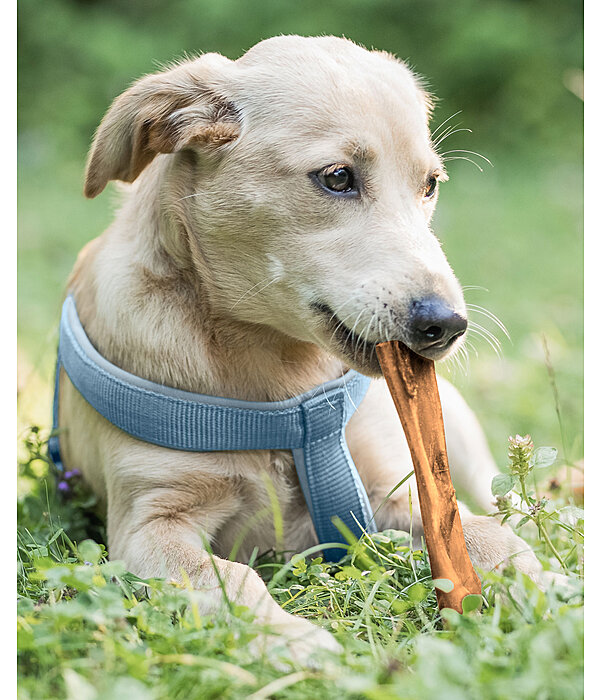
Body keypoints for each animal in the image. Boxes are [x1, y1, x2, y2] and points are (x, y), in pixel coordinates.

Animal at [56, 37, 564, 660]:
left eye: (430, 185)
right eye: (338, 177)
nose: (447, 326)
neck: (283, 389)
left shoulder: (388, 488)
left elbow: (478, 531)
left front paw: (543, 585)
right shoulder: (150, 525)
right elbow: (230, 580)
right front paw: (292, 640)